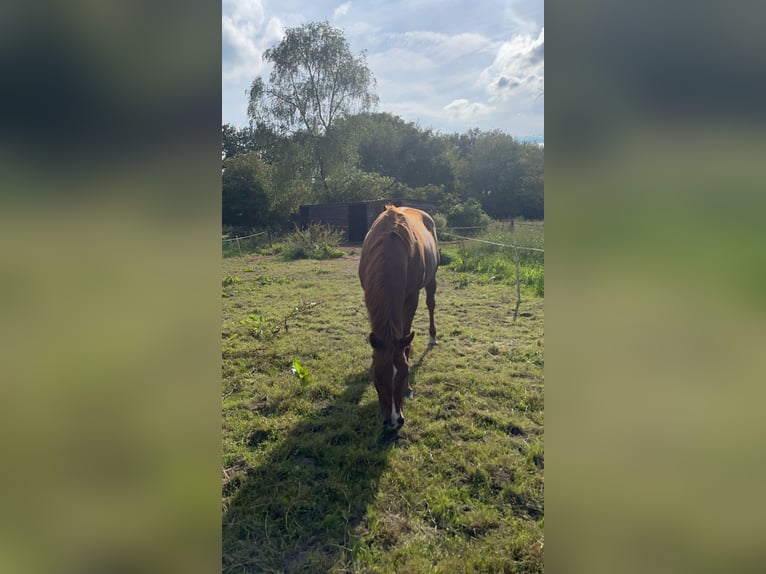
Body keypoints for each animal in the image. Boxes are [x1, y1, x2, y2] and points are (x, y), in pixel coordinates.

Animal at [358, 205, 440, 430]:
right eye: (377, 377)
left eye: (405, 373)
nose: (394, 421)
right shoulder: (369, 294)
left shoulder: (411, 297)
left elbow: (406, 336)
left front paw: (408, 388)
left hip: (432, 278)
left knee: (431, 303)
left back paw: (432, 336)